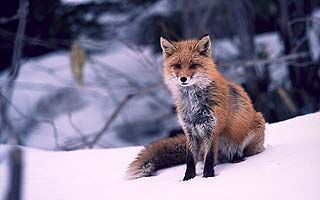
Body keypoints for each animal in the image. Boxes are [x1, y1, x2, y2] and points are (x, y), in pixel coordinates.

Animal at [127, 34, 264, 181]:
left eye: (193, 65)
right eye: (177, 65)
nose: (183, 79)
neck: (193, 105)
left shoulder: (212, 129)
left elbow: (209, 158)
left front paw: (208, 177)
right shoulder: (190, 131)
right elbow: (190, 159)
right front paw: (188, 179)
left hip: (255, 125)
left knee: (238, 152)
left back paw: (237, 158)